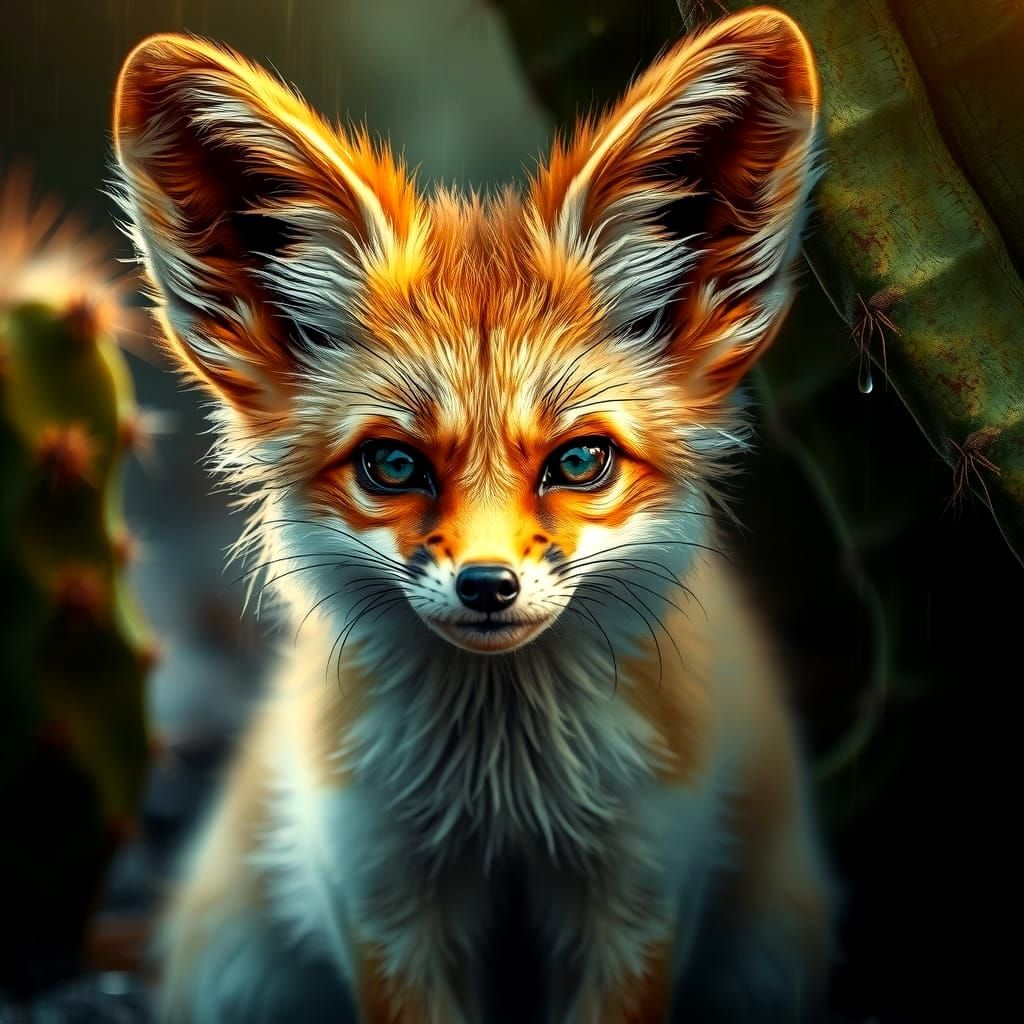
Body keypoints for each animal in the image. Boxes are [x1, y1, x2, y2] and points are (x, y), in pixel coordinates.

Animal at [111, 7, 832, 1023]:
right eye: (393, 465)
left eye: (579, 461)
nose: (488, 586)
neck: (503, 803)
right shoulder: (378, 898)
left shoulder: (643, 890)